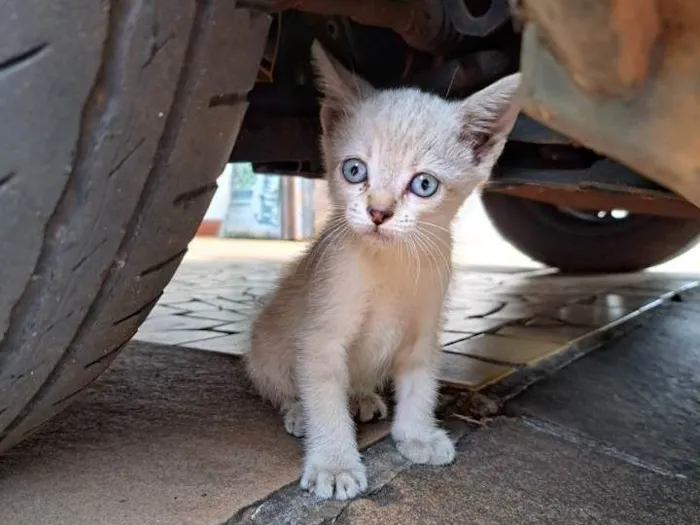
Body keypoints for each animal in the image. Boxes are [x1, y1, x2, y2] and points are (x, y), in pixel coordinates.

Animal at [246, 42, 520, 500]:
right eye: (354, 170)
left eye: (424, 184)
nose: (378, 211)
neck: (391, 264)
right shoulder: (321, 336)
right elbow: (325, 397)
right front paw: (334, 463)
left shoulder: (424, 332)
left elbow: (420, 385)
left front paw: (417, 435)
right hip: (266, 349)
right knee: (283, 386)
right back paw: (299, 411)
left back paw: (361, 397)